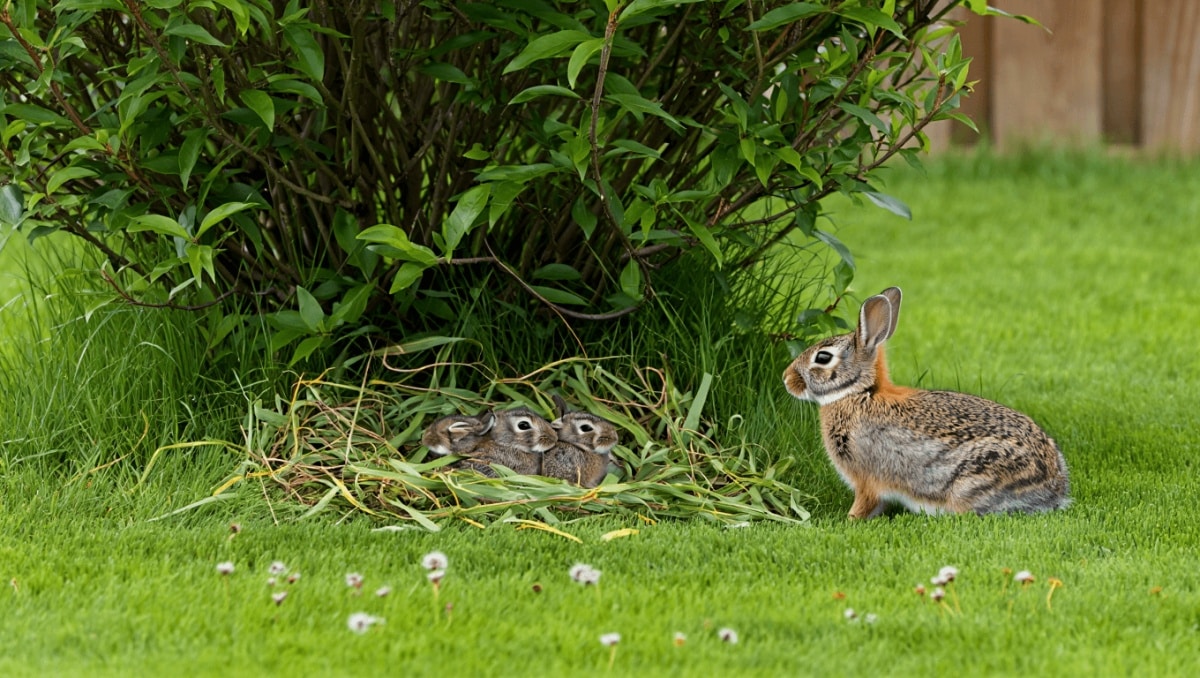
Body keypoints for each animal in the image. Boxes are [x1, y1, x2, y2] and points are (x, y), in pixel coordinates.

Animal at [782, 286, 1070, 519]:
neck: (858, 393)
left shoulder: (867, 481)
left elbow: (865, 503)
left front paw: (849, 520)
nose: (786, 379)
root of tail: (1053, 488)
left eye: (823, 357)